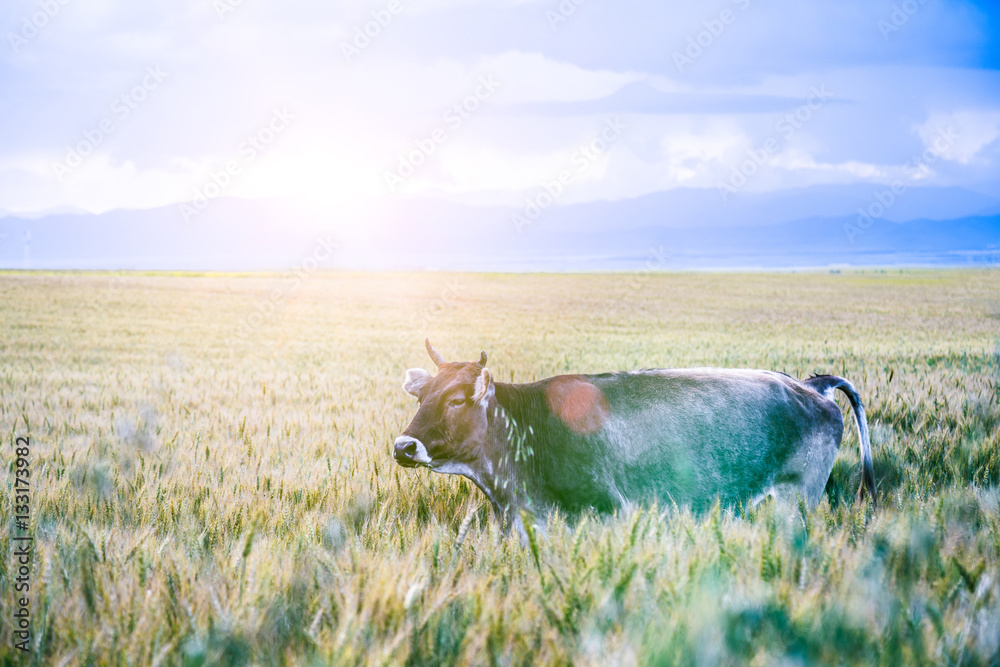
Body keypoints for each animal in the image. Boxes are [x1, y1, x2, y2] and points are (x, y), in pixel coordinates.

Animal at [392, 340, 876, 532]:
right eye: (423, 397)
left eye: (457, 400)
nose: (403, 446)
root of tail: (811, 386)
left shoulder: (610, 509)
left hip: (799, 500)